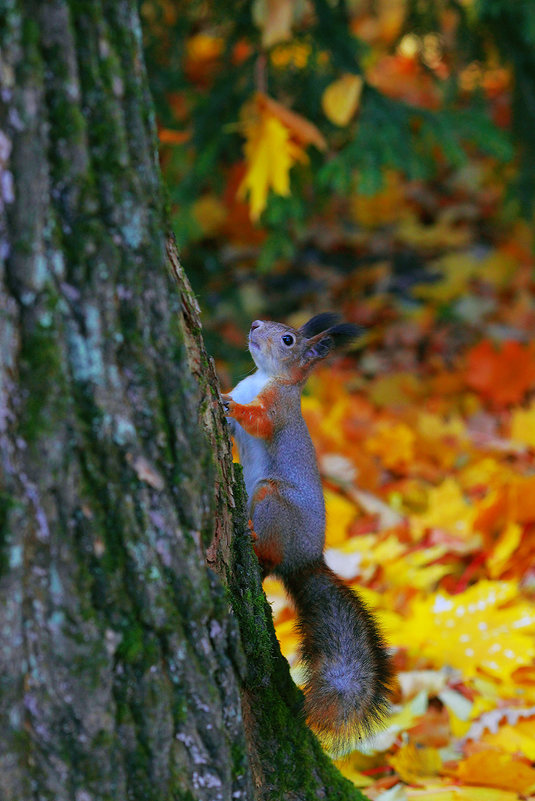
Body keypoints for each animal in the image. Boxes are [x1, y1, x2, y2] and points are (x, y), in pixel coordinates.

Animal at [222, 310, 394, 752]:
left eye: (287, 339)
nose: (254, 325)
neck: (264, 378)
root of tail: (306, 558)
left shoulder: (278, 410)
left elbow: (259, 422)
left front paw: (226, 402)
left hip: (271, 499)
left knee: (267, 559)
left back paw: (252, 537)